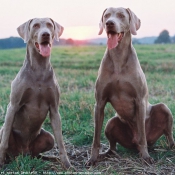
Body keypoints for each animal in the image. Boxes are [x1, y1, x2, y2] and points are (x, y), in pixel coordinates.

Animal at [0, 18, 71, 170]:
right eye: (36, 26)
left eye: (50, 25)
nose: (46, 34)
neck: (39, 68)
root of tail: (22, 153)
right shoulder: (12, 106)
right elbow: (4, 142)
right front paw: (0, 161)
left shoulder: (54, 110)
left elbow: (61, 142)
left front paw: (67, 164)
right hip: (2, 131)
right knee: (5, 138)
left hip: (48, 138)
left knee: (39, 152)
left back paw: (49, 159)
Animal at [86, 7, 175, 165]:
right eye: (106, 15)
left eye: (121, 15)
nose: (109, 23)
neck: (118, 57)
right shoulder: (100, 102)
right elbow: (96, 138)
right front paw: (92, 159)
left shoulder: (139, 100)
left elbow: (142, 135)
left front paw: (146, 157)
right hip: (111, 123)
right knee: (113, 146)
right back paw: (106, 154)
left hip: (163, 108)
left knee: (165, 134)